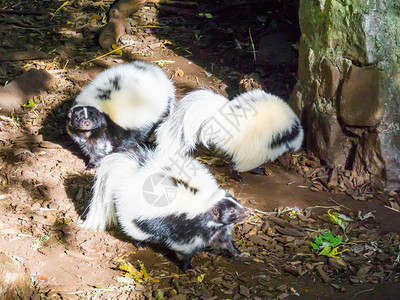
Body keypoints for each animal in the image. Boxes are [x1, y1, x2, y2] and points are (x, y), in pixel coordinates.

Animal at [80, 149, 250, 270]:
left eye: (236, 203)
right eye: (232, 212)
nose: (247, 212)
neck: (204, 202)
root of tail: (131, 174)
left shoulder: (217, 228)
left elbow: (225, 241)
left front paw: (240, 253)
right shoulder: (188, 229)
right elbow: (185, 250)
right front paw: (189, 268)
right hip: (139, 218)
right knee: (136, 229)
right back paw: (141, 244)